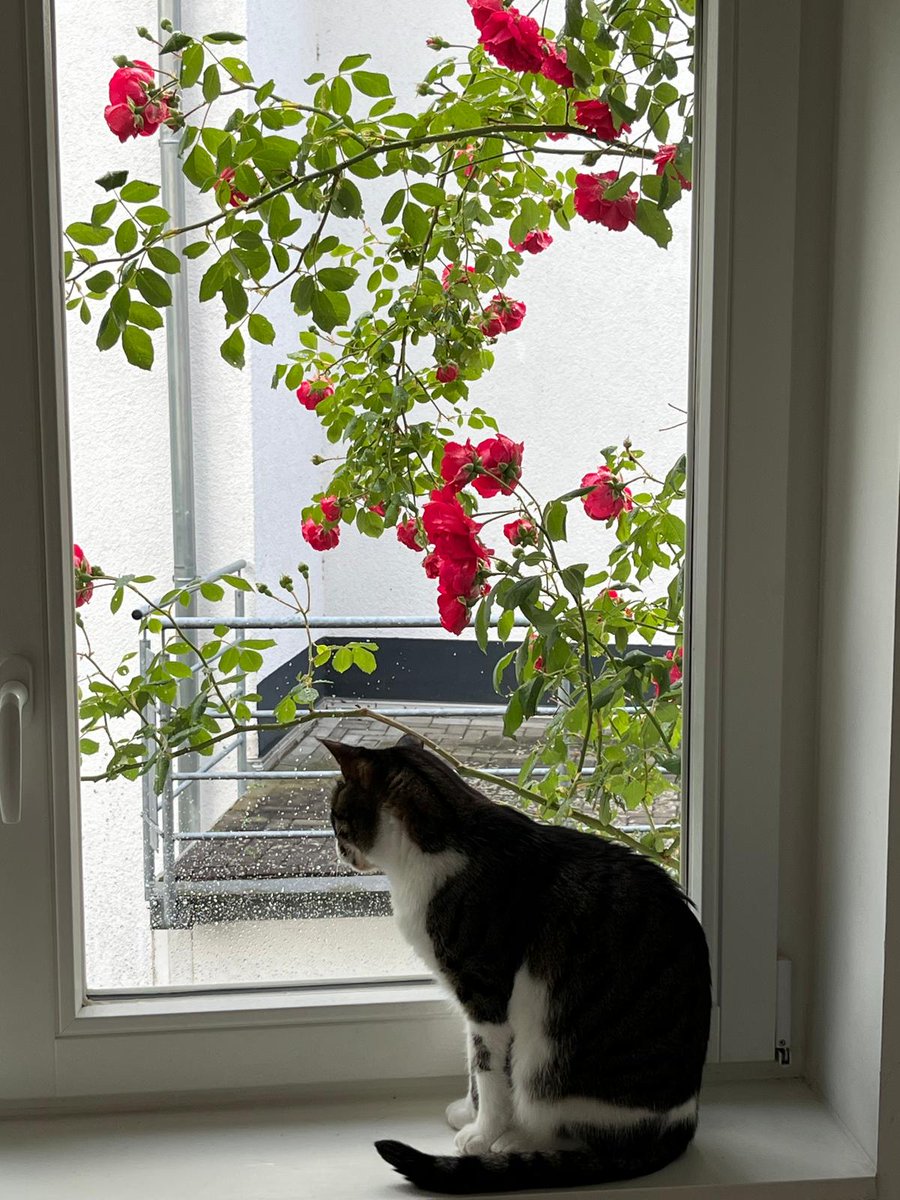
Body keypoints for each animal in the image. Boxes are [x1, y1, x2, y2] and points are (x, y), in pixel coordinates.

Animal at [324, 729, 710, 1190]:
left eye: (335, 816)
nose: (337, 849)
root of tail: (681, 1124)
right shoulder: (469, 1002)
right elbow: (473, 1066)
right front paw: (467, 1114)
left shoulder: (486, 995)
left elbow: (489, 1072)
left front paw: (481, 1134)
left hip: (546, 1055)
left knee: (568, 1128)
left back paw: (515, 1142)